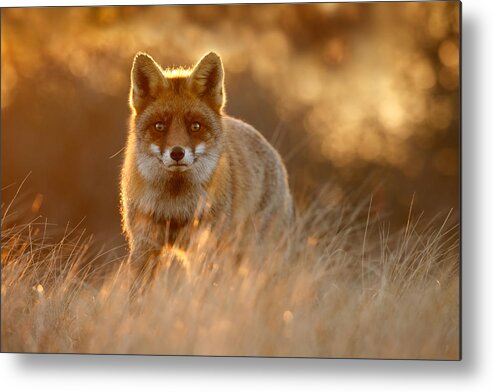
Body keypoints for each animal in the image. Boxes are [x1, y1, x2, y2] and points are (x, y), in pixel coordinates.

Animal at [120, 52, 292, 278]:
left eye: (195, 126)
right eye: (159, 126)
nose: (177, 153)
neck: (175, 205)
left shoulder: (204, 244)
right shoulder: (144, 244)